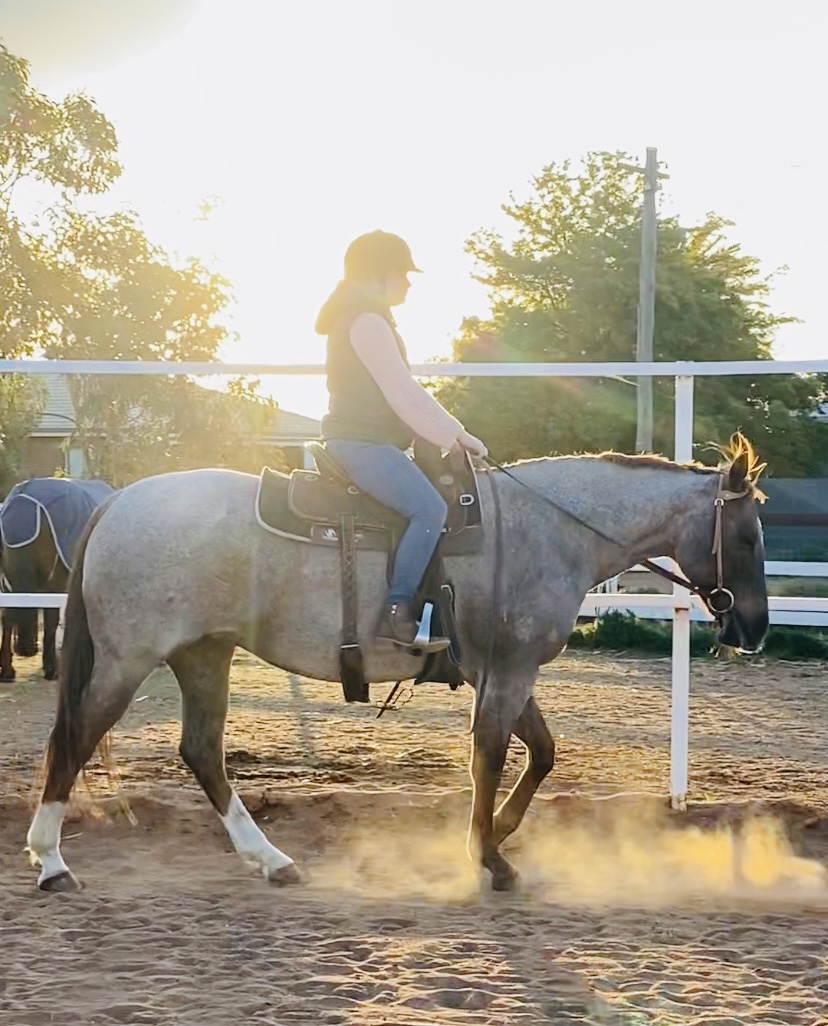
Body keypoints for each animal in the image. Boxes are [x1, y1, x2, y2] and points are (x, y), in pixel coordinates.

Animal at [25, 432, 767, 890]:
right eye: (747, 535)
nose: (754, 627)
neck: (544, 529)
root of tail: (120, 500)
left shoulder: (503, 671)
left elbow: (542, 753)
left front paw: (497, 833)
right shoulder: (509, 672)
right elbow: (491, 756)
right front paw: (488, 855)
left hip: (203, 653)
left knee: (201, 752)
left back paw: (271, 860)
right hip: (129, 658)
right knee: (74, 739)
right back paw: (51, 861)